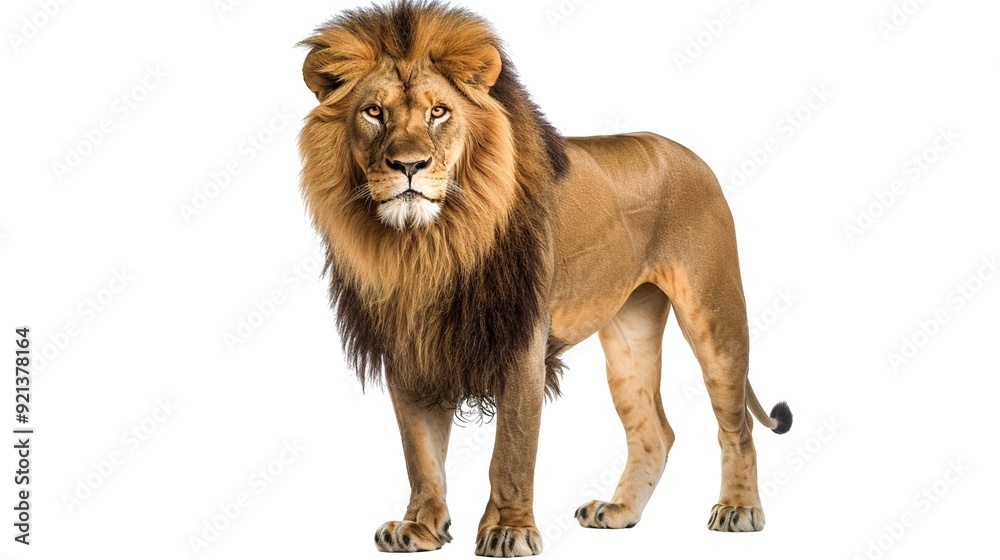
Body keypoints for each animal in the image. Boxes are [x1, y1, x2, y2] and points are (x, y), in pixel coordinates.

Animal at [297, 1, 792, 556]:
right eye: (374, 112)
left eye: (438, 112)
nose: (409, 165)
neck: (427, 245)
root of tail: (689, 153)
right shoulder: (411, 346)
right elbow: (420, 453)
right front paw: (420, 526)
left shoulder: (520, 343)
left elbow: (511, 452)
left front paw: (508, 530)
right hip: (629, 330)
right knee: (654, 431)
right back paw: (619, 511)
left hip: (715, 314)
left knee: (737, 424)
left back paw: (739, 509)